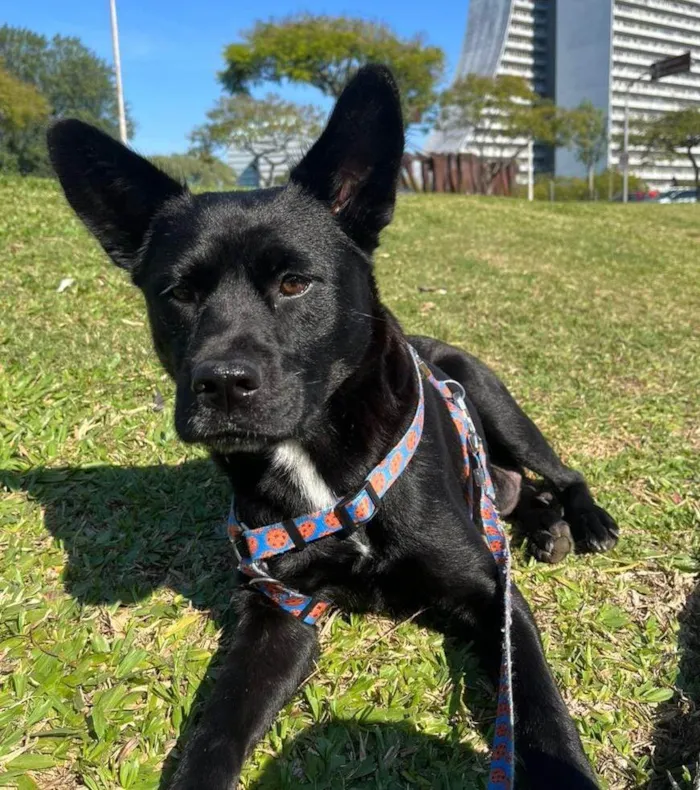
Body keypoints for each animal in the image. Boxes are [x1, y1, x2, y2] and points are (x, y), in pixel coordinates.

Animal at [49, 65, 616, 788]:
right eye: (176, 293)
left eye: (295, 283)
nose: (221, 385)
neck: (318, 460)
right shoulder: (280, 611)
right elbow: (216, 732)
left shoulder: (496, 599)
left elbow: (539, 708)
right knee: (521, 494)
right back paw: (546, 529)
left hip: (494, 400)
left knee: (560, 472)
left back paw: (584, 521)